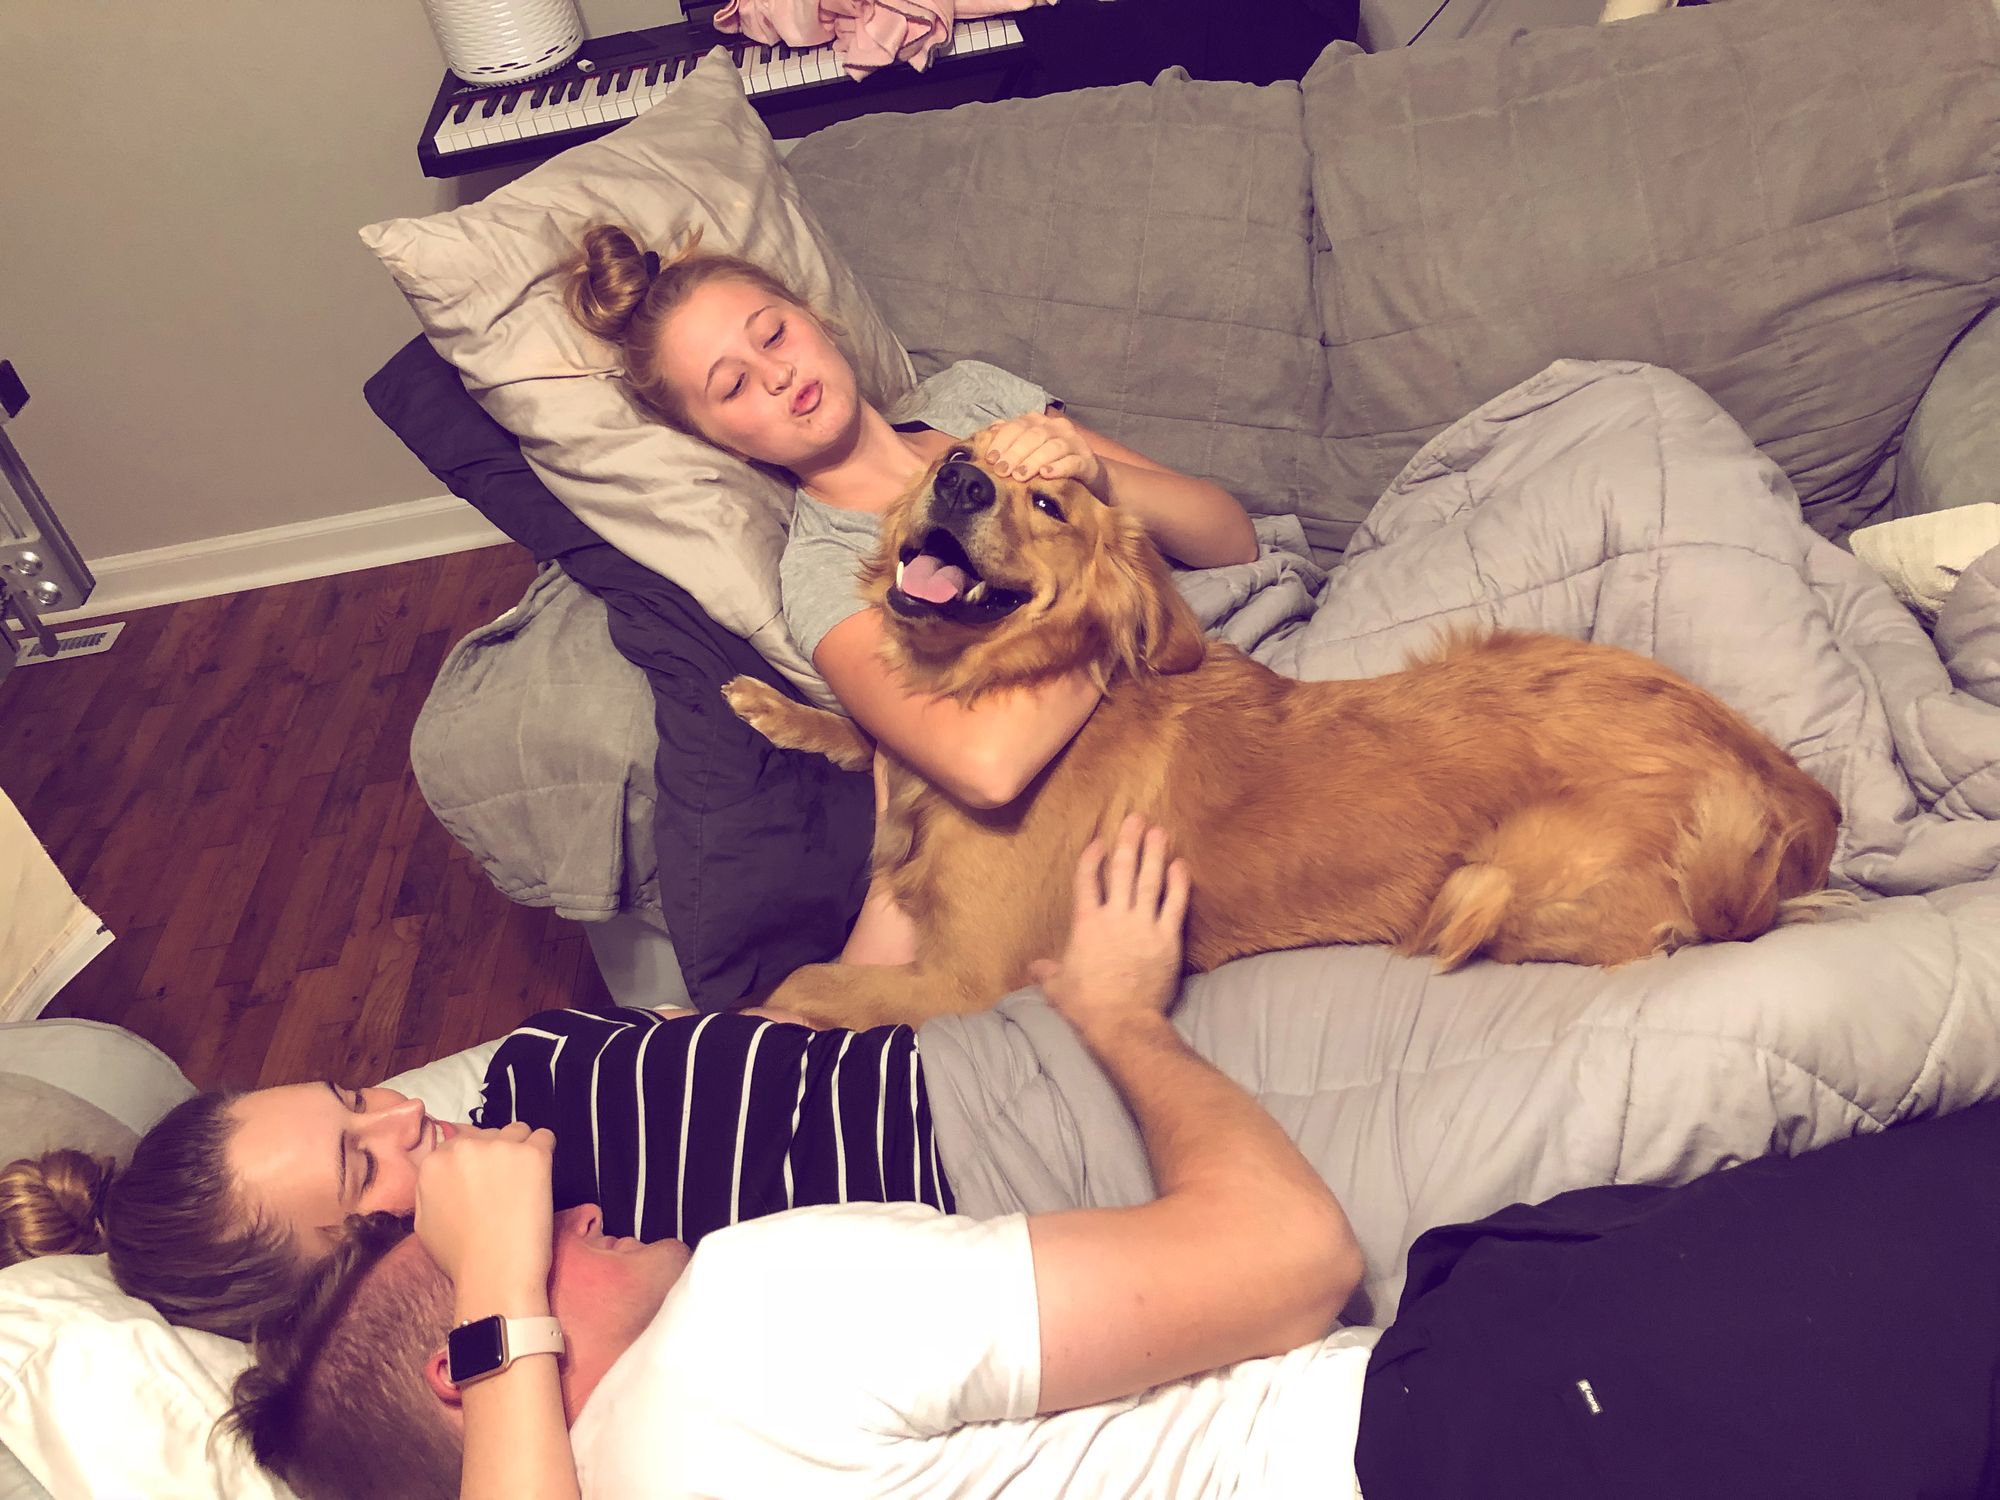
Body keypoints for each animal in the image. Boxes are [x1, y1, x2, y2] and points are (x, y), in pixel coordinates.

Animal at [726, 446, 1843, 1030]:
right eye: (952, 456)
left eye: (1045, 498)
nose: (959, 477)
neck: (997, 684)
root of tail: (1786, 791)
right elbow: (868, 736)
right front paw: (779, 708)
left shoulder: (965, 980)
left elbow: (793, 983)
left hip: (1486, 887)